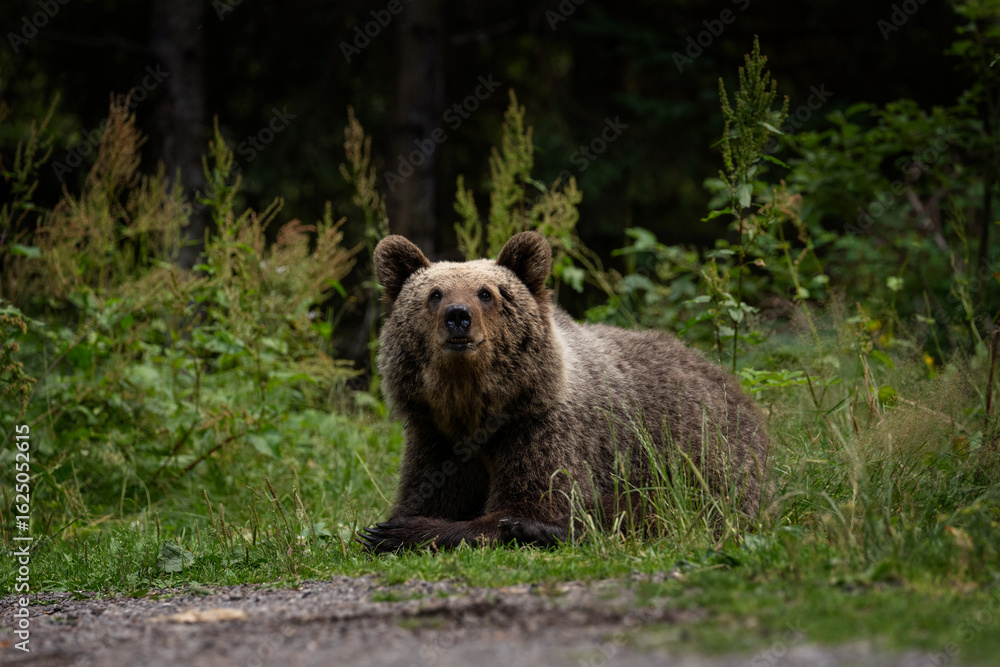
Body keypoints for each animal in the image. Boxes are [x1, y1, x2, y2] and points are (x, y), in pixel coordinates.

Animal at [359, 231, 768, 552]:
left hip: (704, 455)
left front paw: (396, 532)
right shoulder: (437, 438)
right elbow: (426, 492)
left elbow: (535, 500)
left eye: (486, 293)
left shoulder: (542, 429)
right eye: (435, 293)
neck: (474, 408)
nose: (458, 316)